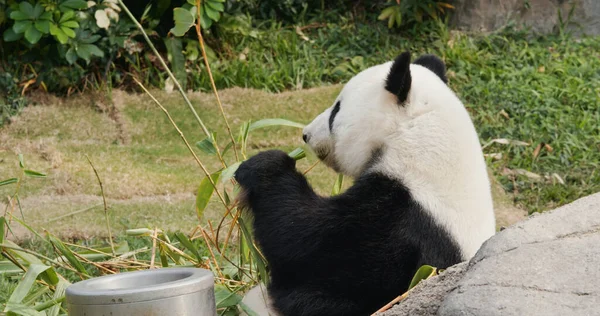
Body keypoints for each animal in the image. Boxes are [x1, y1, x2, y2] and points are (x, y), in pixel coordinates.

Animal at [234, 51, 496, 316]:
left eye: (336, 111)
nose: (306, 134)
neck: (422, 140)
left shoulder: (403, 221)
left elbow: (303, 243)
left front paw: (263, 166)